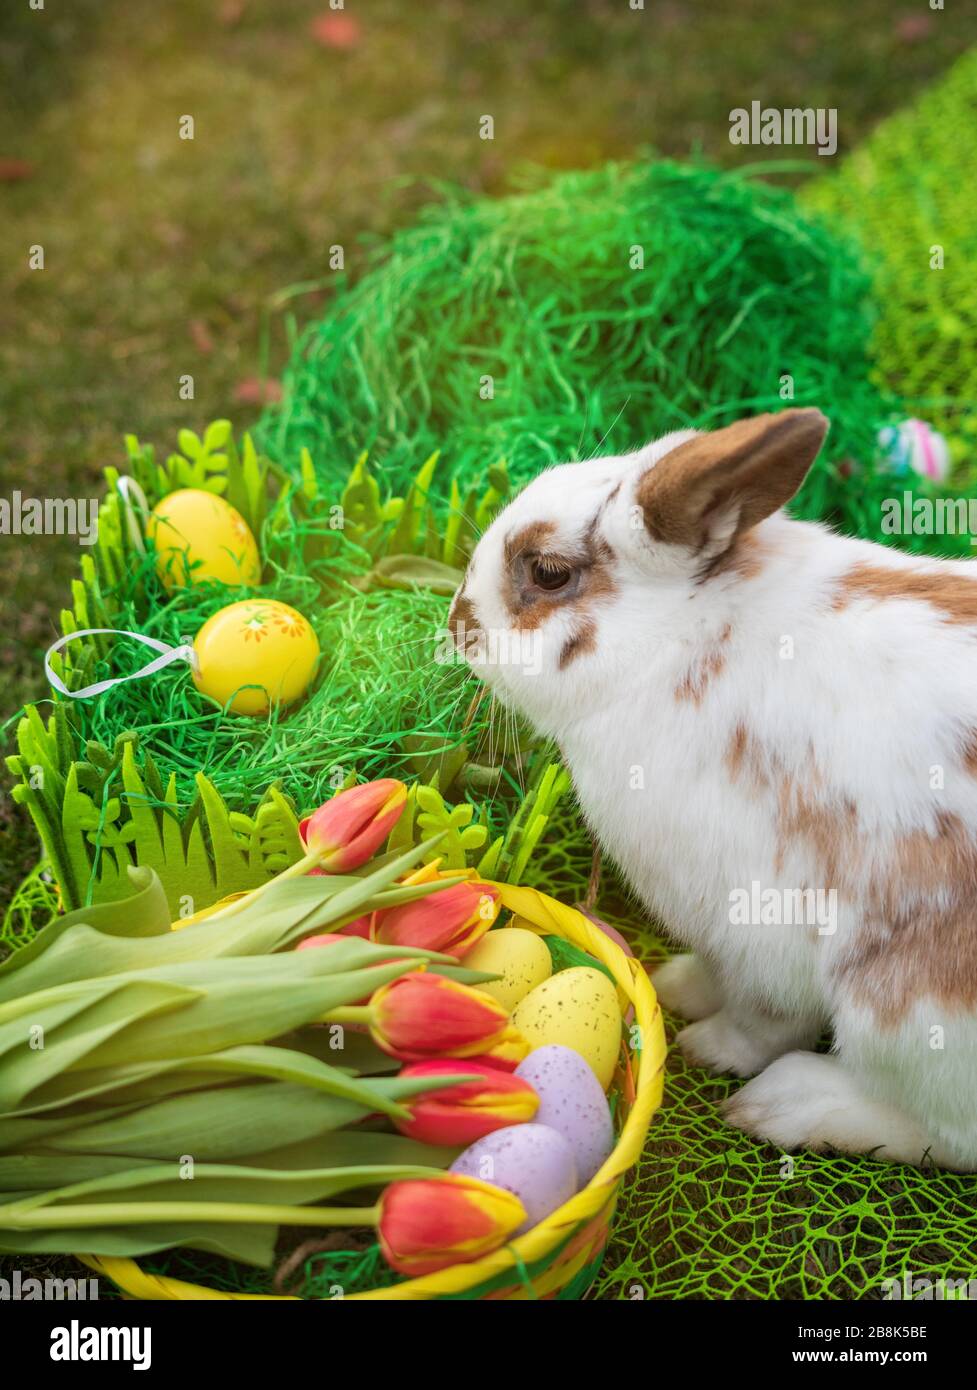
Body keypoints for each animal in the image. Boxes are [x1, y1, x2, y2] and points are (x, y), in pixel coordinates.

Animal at [448, 407, 977, 1170]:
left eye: (548, 572)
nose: (457, 625)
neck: (688, 635)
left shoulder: (761, 923)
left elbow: (764, 1018)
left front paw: (710, 1046)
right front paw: (678, 986)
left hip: (912, 1009)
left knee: (947, 1129)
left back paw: (789, 1104)